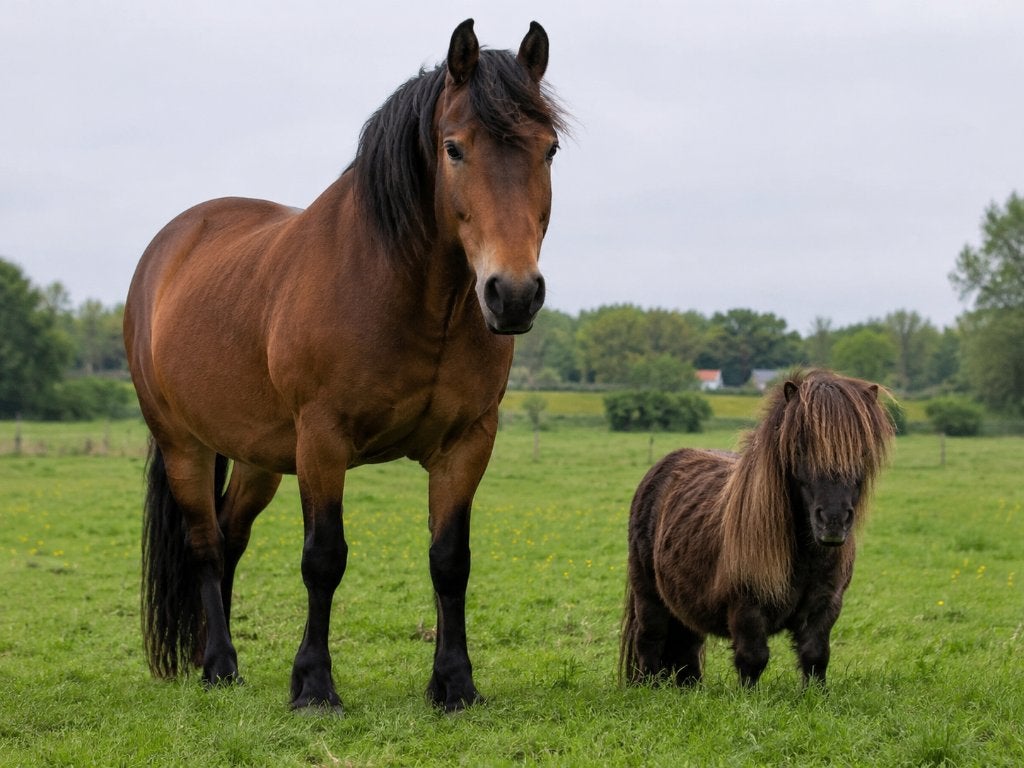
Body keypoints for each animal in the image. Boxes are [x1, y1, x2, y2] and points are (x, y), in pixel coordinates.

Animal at [123, 19, 567, 713]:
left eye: (548, 150)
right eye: (454, 148)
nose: (513, 294)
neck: (407, 294)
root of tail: (168, 248)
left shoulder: (467, 443)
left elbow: (450, 559)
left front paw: (453, 683)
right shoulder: (322, 441)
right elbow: (324, 557)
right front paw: (312, 684)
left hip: (257, 456)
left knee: (230, 537)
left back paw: (209, 657)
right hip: (183, 444)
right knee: (204, 544)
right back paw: (220, 664)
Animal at [619, 370, 894, 689]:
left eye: (861, 451)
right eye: (800, 446)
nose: (833, 520)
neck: (803, 554)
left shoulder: (825, 605)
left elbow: (815, 655)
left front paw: (814, 695)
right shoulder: (746, 606)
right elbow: (753, 658)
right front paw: (747, 698)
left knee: (686, 645)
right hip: (648, 594)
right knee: (650, 639)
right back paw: (648, 688)